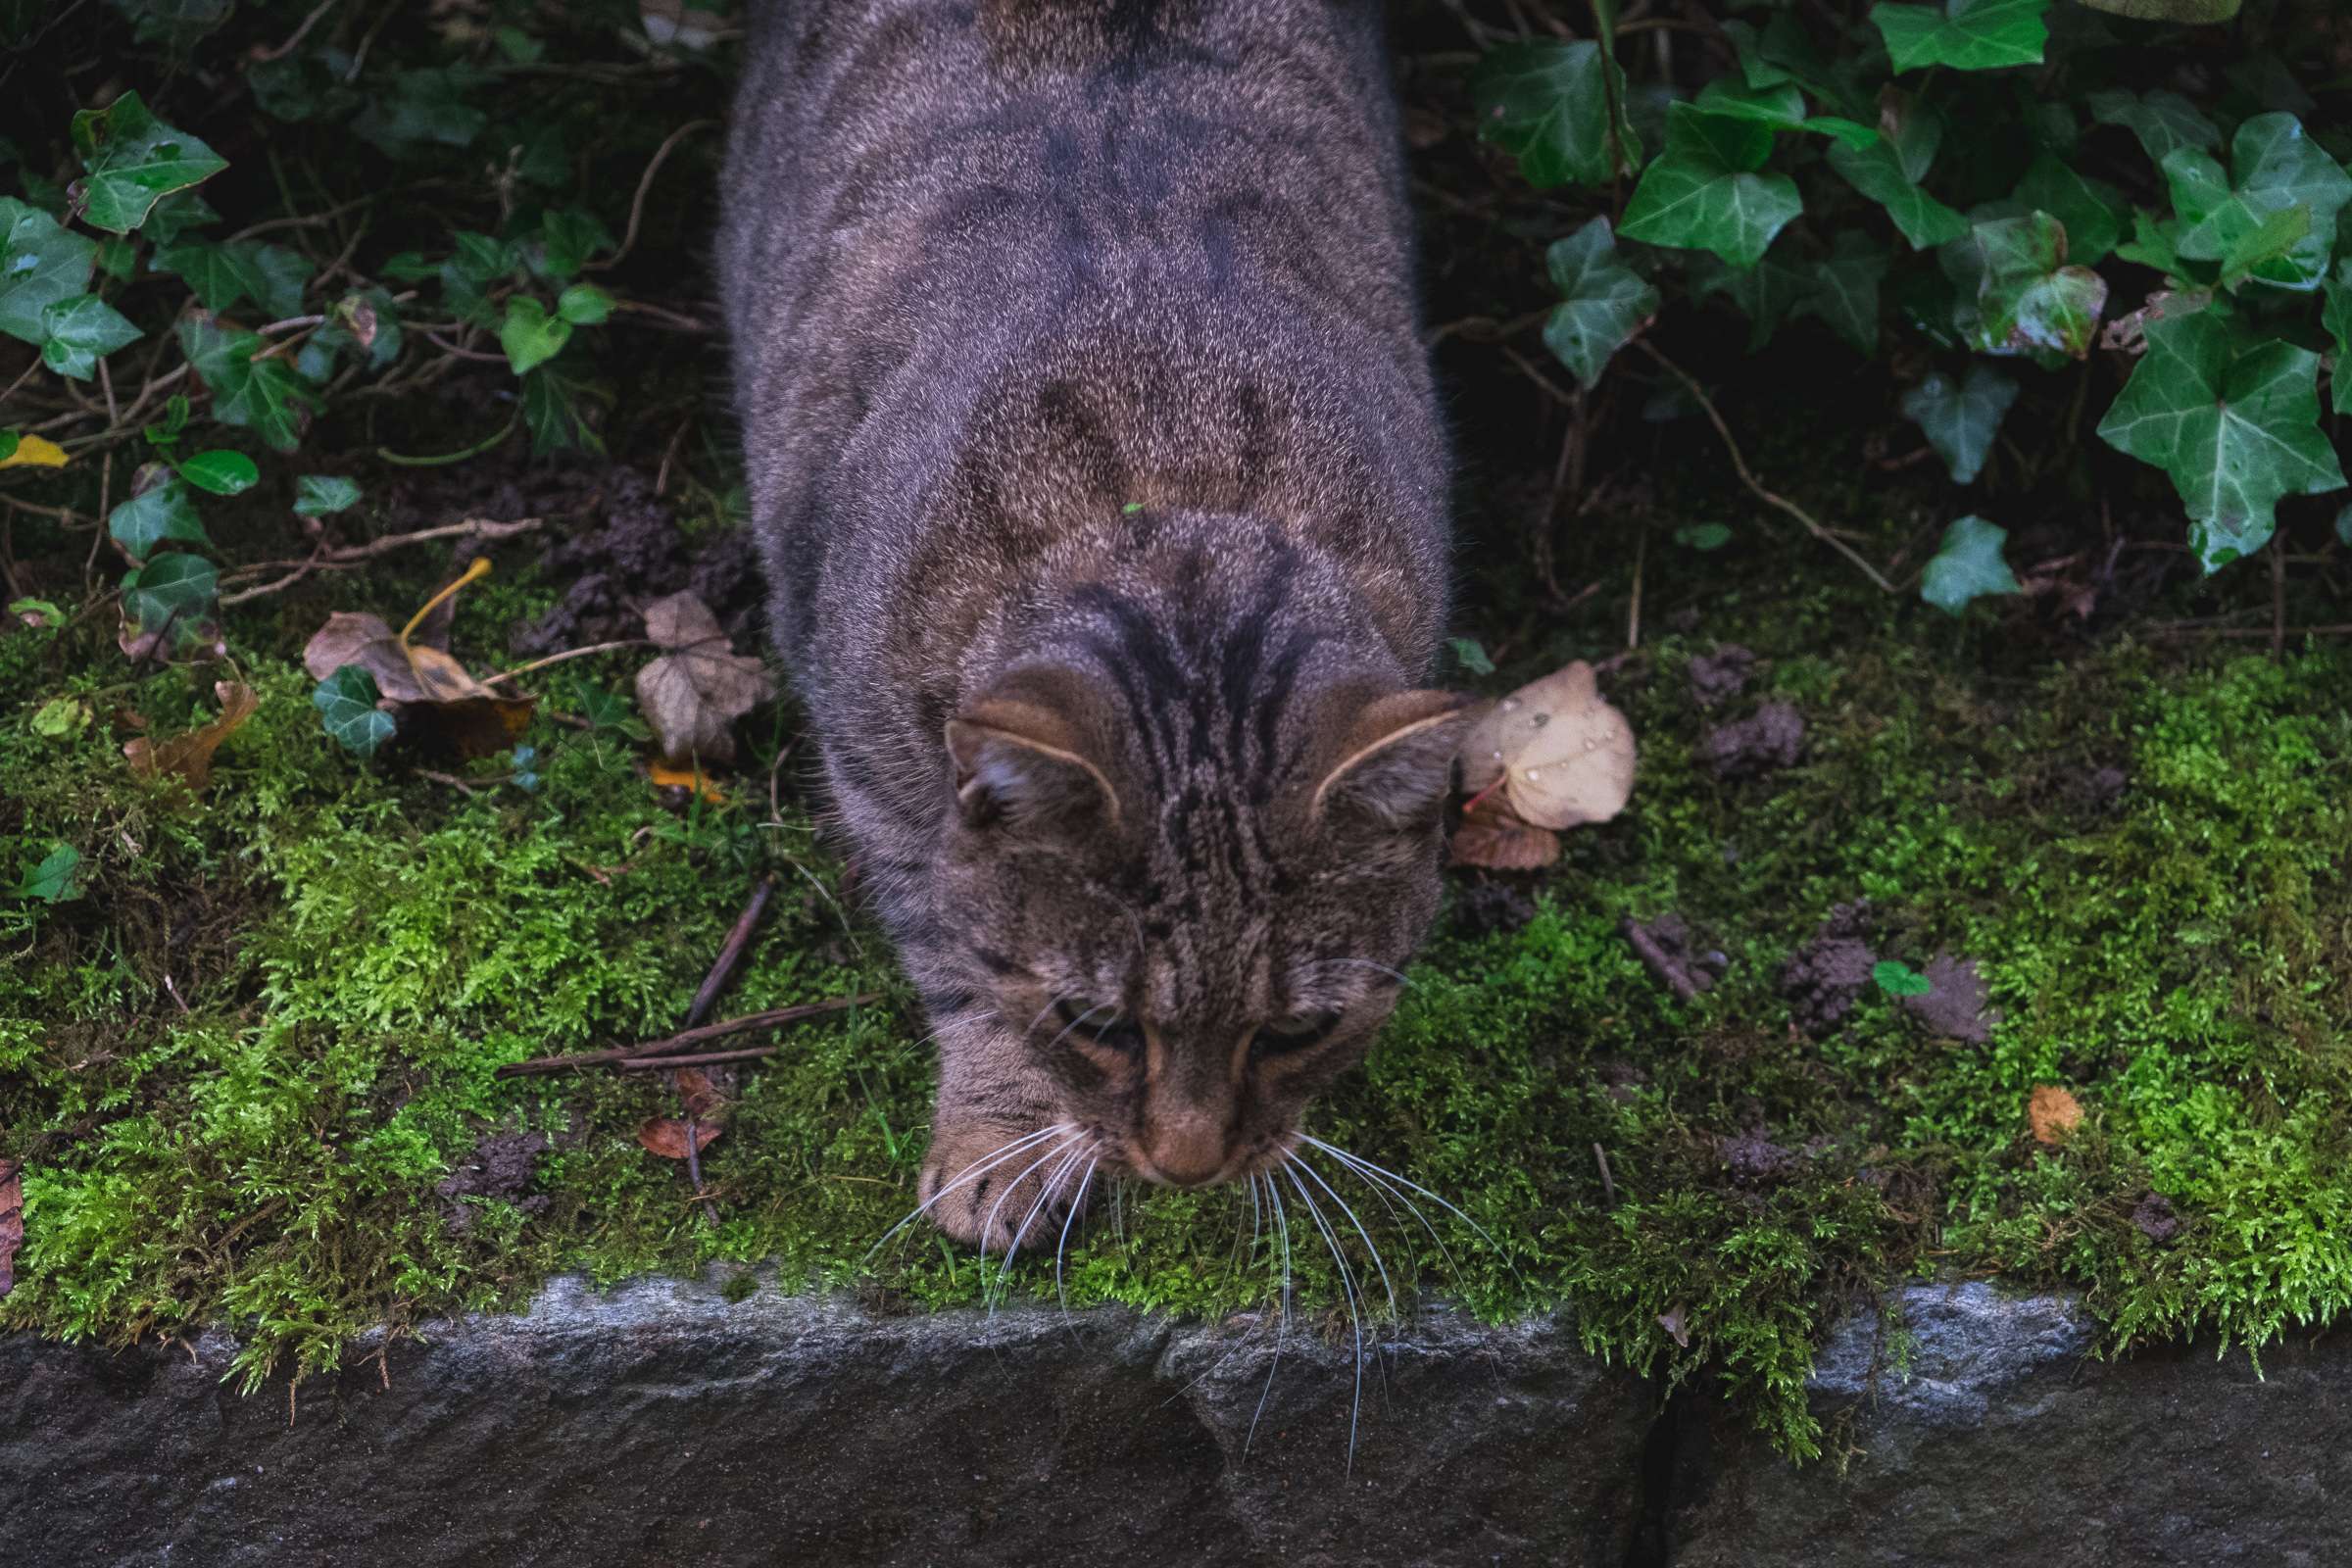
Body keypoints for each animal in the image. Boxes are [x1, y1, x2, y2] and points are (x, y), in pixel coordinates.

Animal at [714, 0, 1467, 1250]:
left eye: (1298, 1030)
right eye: (1099, 1021)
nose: (1190, 1165)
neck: (1162, 449)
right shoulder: (871, 767)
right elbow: (957, 951)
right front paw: (1003, 1131)